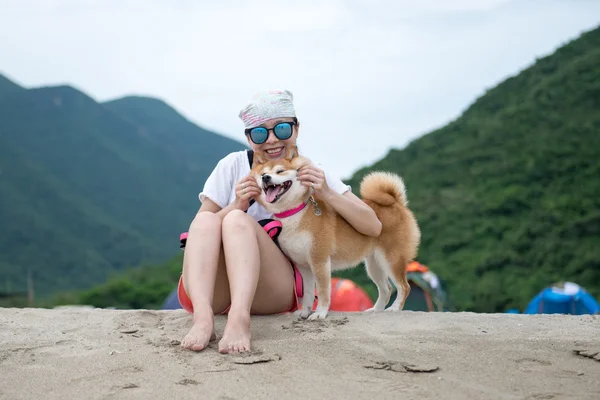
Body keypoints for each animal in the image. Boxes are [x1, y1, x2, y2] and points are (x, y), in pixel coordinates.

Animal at [251, 146, 420, 318]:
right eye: (262, 173)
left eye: (280, 171)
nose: (266, 178)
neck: (294, 213)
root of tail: (396, 203)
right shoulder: (303, 265)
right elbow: (308, 293)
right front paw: (304, 312)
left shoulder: (319, 260)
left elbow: (323, 291)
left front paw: (320, 313)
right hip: (374, 264)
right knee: (386, 289)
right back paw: (376, 310)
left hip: (392, 259)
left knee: (404, 287)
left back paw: (395, 307)